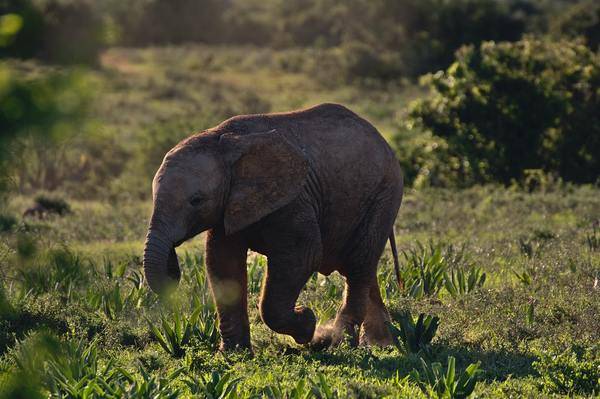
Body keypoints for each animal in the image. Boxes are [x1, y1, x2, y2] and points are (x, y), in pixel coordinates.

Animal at [142, 103, 404, 354]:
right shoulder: (230, 204)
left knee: (358, 264)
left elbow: (304, 256)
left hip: (385, 194)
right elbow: (222, 263)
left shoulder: (294, 199)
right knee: (361, 269)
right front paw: (233, 355)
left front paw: (308, 324)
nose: (172, 270)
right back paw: (379, 344)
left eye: (196, 200)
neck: (223, 140)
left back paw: (339, 344)